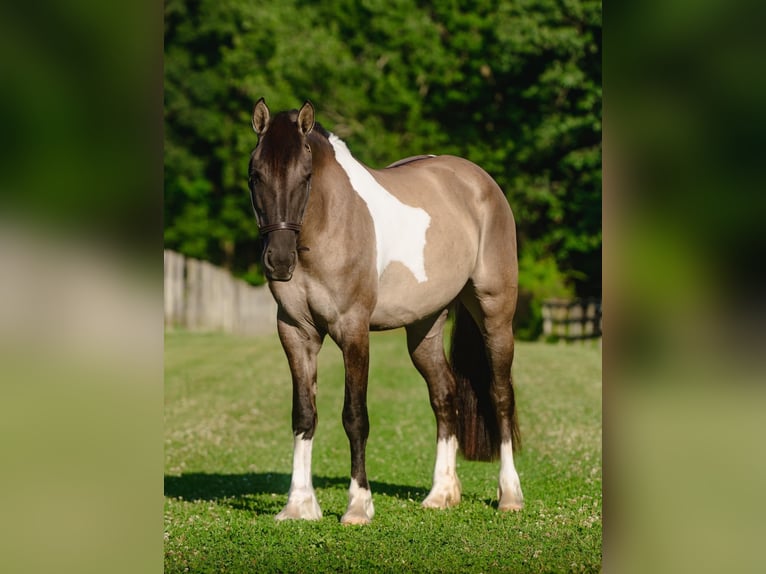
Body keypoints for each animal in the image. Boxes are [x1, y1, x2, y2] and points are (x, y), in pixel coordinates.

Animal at [248, 98, 523, 524]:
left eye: (305, 175)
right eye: (256, 175)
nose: (278, 261)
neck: (326, 223)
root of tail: (479, 182)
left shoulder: (353, 331)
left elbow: (355, 417)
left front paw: (358, 506)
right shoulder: (296, 333)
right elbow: (304, 415)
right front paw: (298, 504)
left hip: (495, 315)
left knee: (500, 395)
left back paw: (510, 495)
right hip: (425, 327)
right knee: (444, 395)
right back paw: (441, 494)